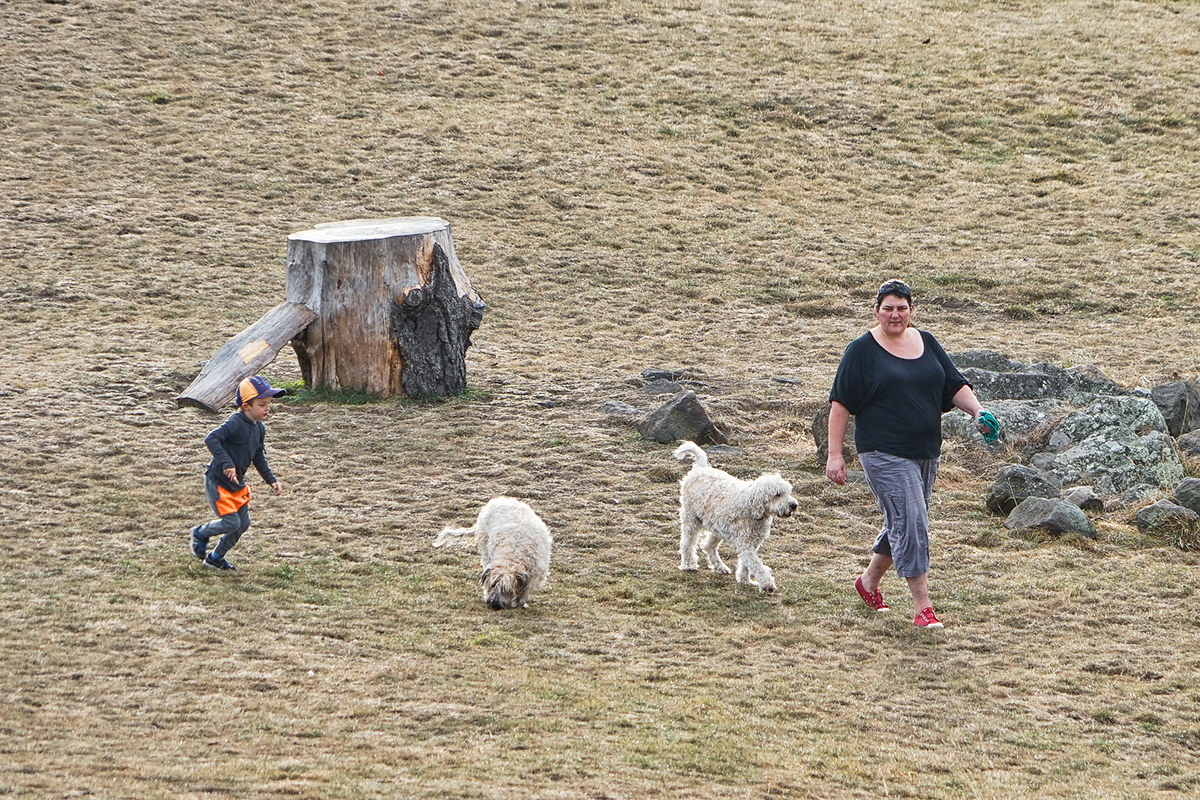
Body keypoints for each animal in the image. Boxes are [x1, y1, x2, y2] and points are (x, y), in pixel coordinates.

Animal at [676, 441, 796, 592]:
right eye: (778, 494)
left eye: (788, 492)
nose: (794, 505)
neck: (752, 507)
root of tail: (700, 468)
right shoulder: (746, 544)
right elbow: (756, 565)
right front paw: (767, 584)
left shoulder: (752, 543)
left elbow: (746, 564)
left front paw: (745, 580)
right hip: (691, 519)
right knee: (687, 544)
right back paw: (688, 565)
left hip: (717, 526)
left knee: (708, 545)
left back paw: (719, 567)